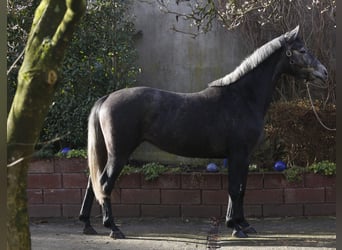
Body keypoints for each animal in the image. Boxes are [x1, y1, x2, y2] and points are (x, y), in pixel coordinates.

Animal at [79, 26, 328, 239]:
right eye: (302, 50)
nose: (324, 73)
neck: (242, 98)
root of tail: (106, 98)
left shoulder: (244, 156)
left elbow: (240, 189)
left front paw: (242, 224)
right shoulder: (238, 154)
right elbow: (234, 189)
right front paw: (236, 228)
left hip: (106, 153)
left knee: (93, 182)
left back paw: (87, 225)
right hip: (119, 154)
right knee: (104, 183)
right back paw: (113, 228)